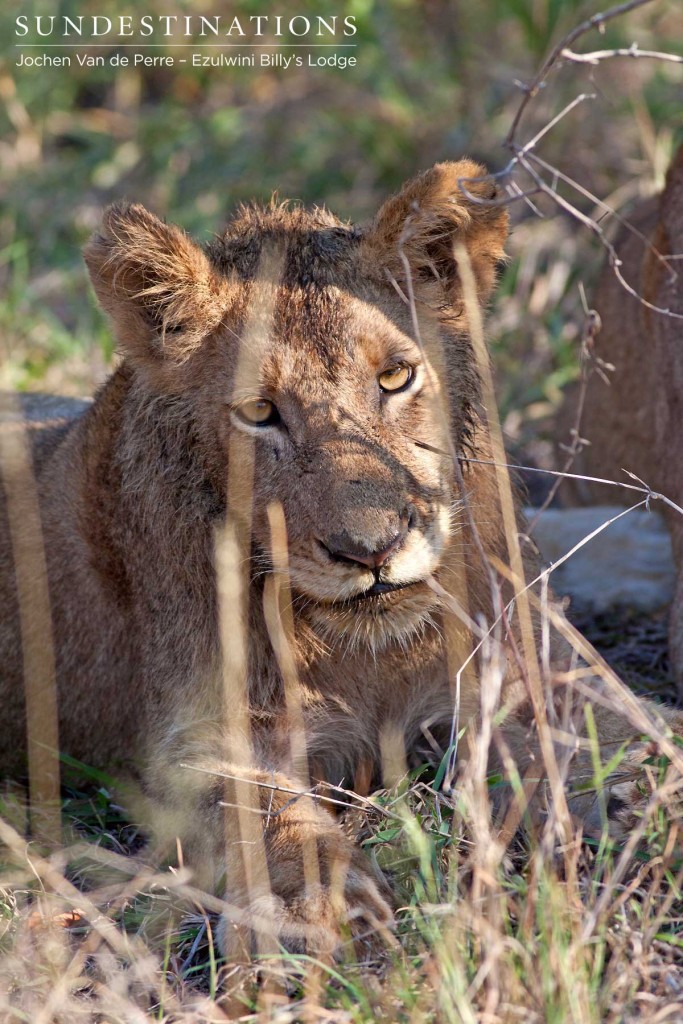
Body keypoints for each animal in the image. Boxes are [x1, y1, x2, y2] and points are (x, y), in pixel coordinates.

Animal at [3, 161, 683, 958]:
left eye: (395, 378)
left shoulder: (524, 675)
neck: (371, 658)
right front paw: (317, 909)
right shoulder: (195, 741)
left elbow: (614, 742)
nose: (373, 548)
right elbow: (261, 809)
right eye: (259, 413)